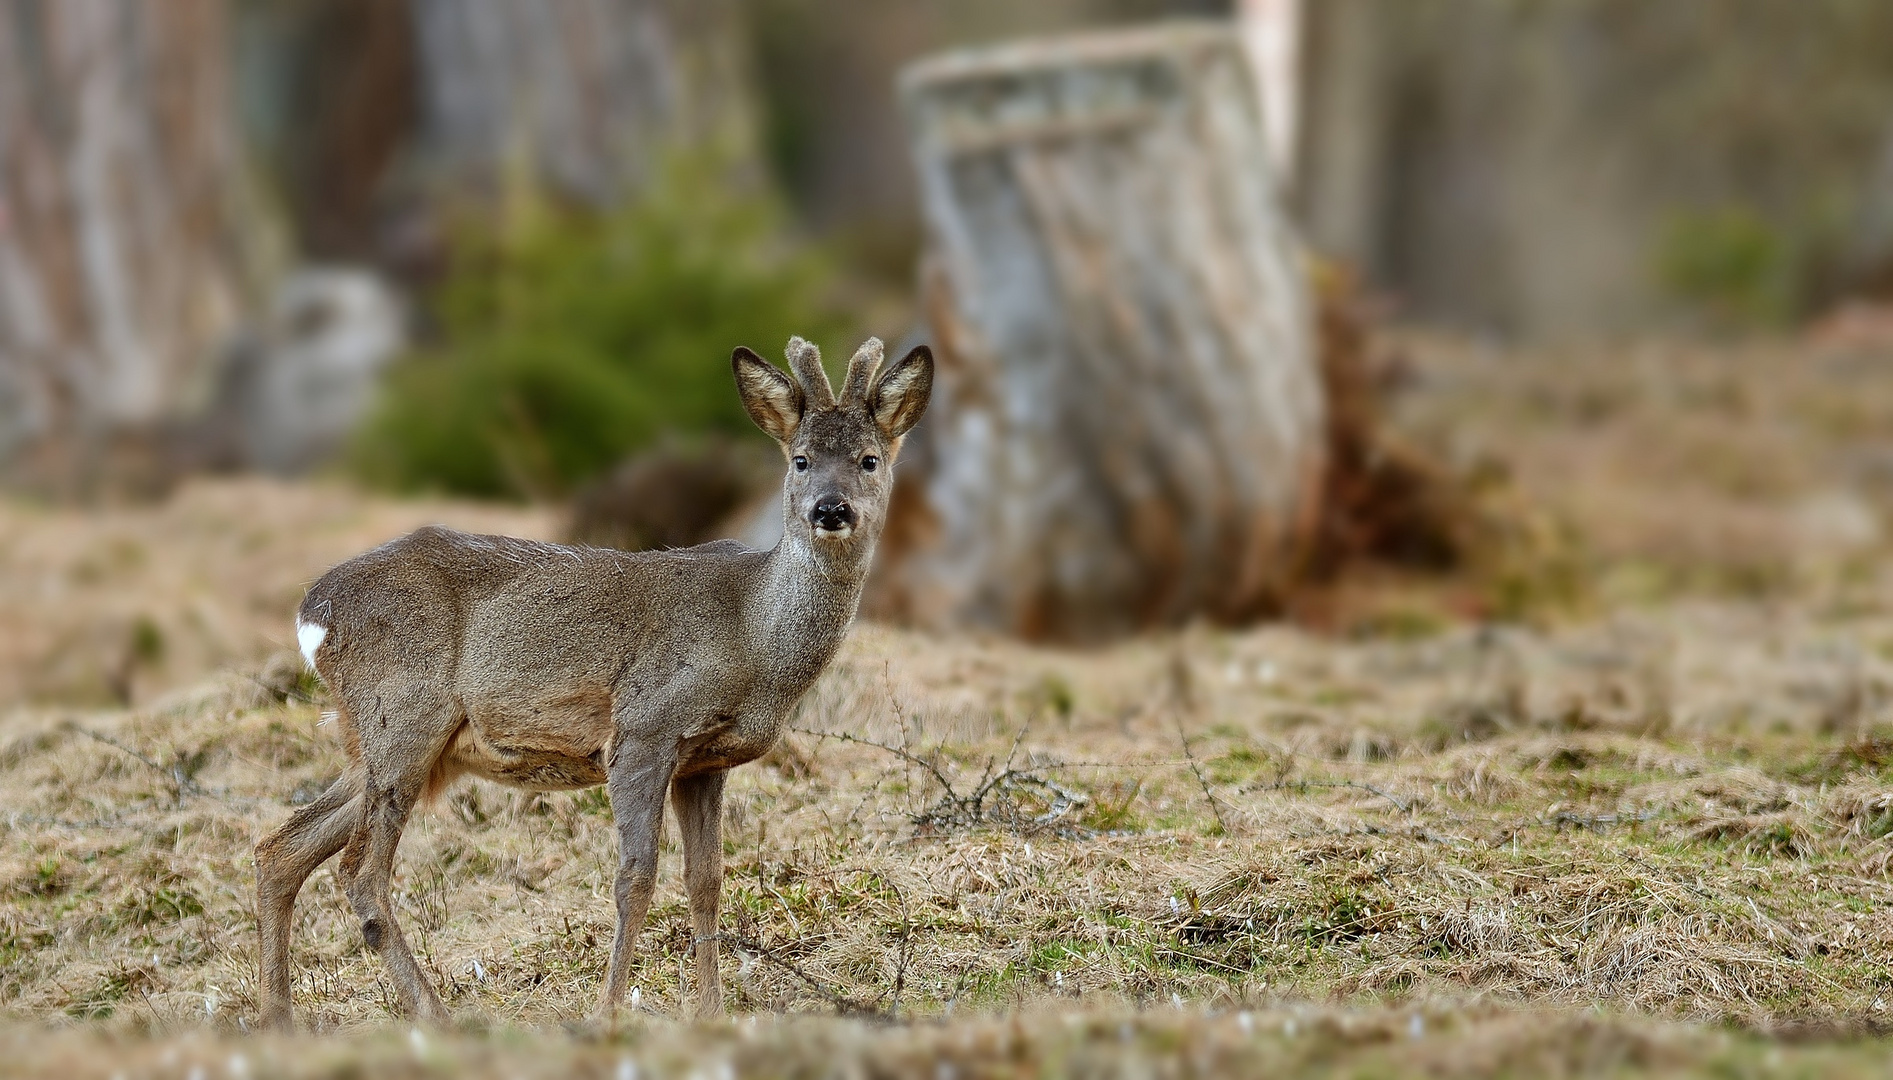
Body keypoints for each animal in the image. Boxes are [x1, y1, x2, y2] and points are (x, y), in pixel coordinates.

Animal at [251, 338, 931, 1028]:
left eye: (869, 459)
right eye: (800, 459)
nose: (830, 509)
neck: (750, 635)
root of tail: (313, 612)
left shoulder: (704, 762)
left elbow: (707, 880)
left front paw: (709, 1012)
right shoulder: (644, 727)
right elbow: (635, 877)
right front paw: (609, 1011)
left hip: (394, 744)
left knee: (282, 848)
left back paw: (280, 1018)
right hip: (403, 715)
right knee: (359, 872)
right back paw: (435, 1015)